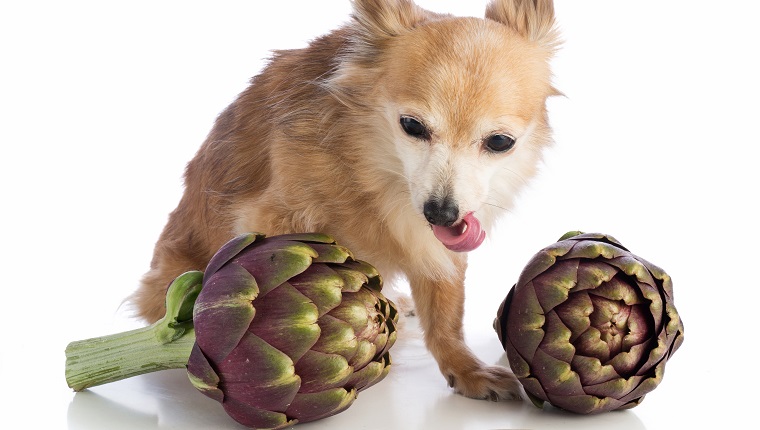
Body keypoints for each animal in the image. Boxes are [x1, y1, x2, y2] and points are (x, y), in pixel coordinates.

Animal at [129, 0, 560, 402]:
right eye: (412, 126)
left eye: (500, 142)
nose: (439, 211)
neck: (377, 174)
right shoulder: (269, 219)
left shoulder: (440, 243)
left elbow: (445, 313)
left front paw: (465, 369)